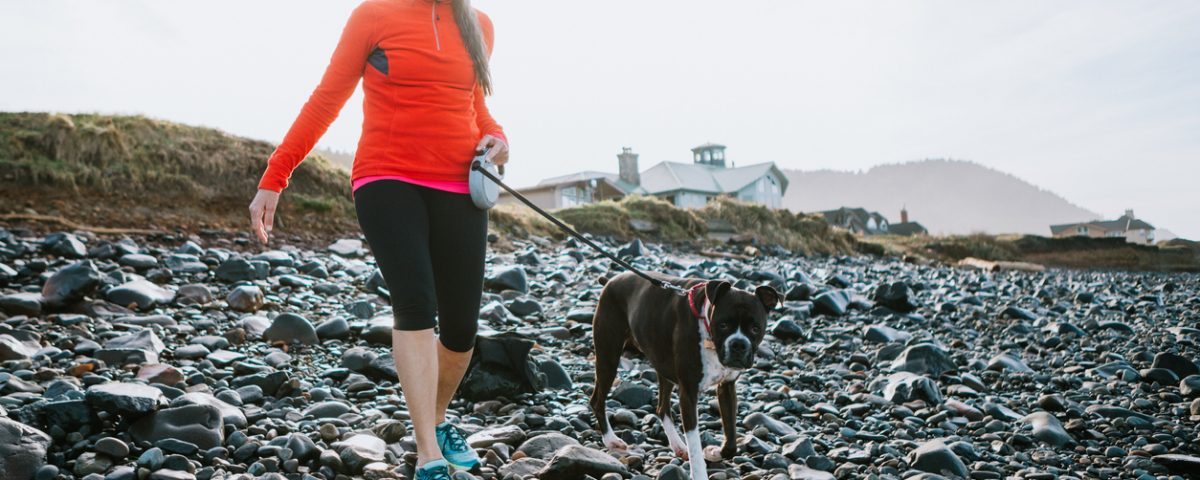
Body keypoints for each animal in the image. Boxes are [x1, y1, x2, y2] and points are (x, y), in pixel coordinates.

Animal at [588, 272, 777, 477]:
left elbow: (731, 442)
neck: (706, 325)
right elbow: (695, 446)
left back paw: (678, 446)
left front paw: (714, 453)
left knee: (662, 408)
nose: (738, 344)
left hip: (663, 365)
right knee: (597, 400)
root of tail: (611, 280)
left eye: (755, 328)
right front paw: (700, 472)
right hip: (608, 358)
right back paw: (611, 440)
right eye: (724, 325)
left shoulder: (727, 388)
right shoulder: (688, 394)